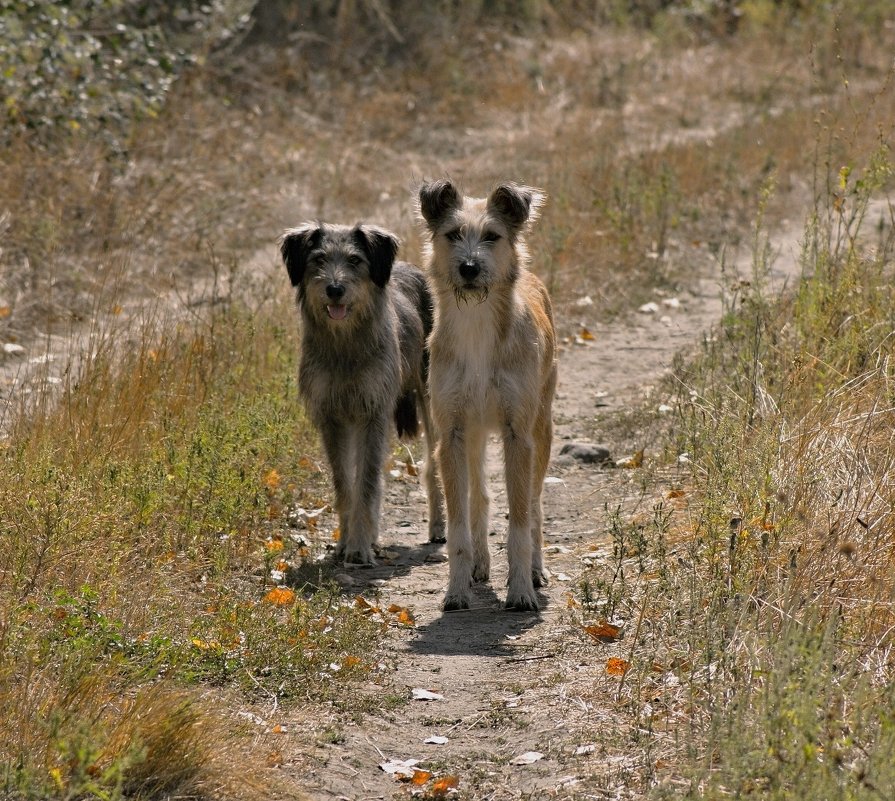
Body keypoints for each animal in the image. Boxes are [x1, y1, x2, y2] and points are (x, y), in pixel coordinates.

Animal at [282, 222, 446, 564]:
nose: (334, 289)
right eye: (318, 259)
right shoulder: (332, 418)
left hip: (429, 398)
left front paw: (358, 547)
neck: (346, 346)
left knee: (434, 465)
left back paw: (439, 527)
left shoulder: (374, 412)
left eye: (355, 260)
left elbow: (367, 483)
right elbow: (346, 485)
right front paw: (347, 542)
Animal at [418, 178, 556, 608]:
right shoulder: (451, 435)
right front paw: (456, 590)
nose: (469, 267)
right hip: (475, 435)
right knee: (479, 497)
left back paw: (536, 569)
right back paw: (479, 565)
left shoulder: (518, 434)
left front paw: (521, 590)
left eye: (492, 236)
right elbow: (459, 523)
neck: (477, 325)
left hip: (542, 427)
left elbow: (521, 520)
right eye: (453, 234)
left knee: (535, 502)